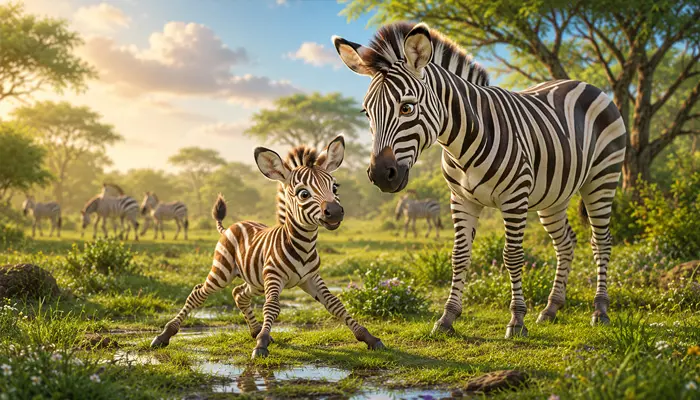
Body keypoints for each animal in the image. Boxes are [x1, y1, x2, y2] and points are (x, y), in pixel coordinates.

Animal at [150, 136, 385, 358]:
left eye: (335, 187)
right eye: (303, 194)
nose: (335, 212)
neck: (303, 245)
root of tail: (229, 226)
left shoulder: (310, 278)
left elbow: (335, 304)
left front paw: (369, 338)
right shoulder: (274, 277)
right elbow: (272, 306)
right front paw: (261, 345)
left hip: (255, 280)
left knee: (238, 294)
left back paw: (255, 331)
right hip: (223, 271)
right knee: (198, 293)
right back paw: (164, 335)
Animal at [333, 22, 627, 338]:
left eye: (407, 108)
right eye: (366, 113)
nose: (380, 175)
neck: (460, 142)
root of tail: (584, 84)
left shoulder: (515, 198)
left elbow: (513, 256)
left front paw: (516, 320)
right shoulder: (461, 200)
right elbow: (459, 256)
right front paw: (447, 318)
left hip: (602, 178)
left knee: (601, 241)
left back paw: (600, 310)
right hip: (554, 195)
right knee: (566, 242)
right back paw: (551, 308)